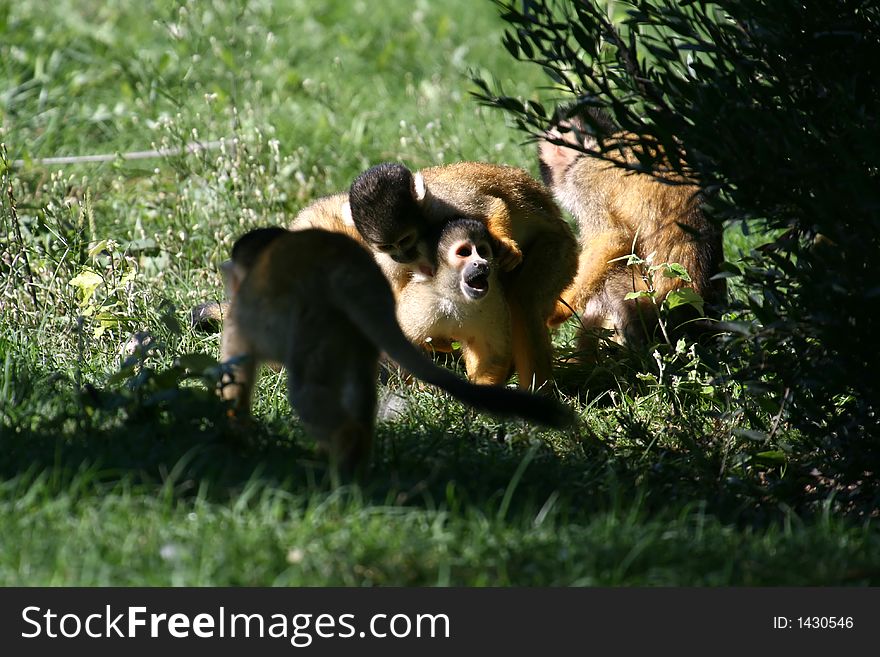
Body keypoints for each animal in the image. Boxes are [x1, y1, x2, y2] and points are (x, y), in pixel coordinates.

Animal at [396, 218, 512, 386]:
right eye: (464, 253)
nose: (482, 264)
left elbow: (492, 355)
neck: (456, 298)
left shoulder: (493, 300)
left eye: (482, 251)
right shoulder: (421, 301)